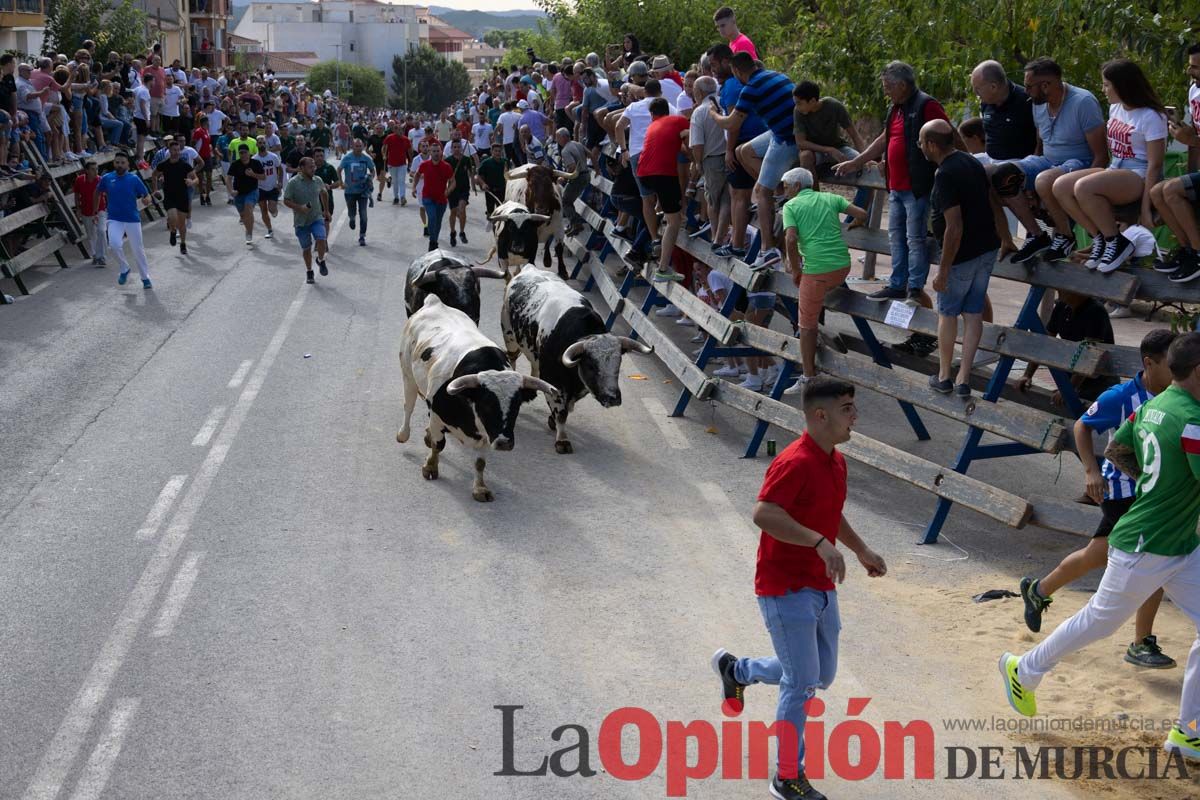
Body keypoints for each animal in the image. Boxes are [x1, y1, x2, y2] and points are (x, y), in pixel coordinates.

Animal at [398, 297, 556, 501]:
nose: (504, 443)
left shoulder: (486, 435)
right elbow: (438, 445)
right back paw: (403, 433)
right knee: (408, 406)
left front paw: (480, 488)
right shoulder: (437, 417)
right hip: (408, 375)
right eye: (487, 405)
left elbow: (480, 463)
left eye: (516, 406)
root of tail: (434, 302)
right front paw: (430, 467)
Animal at [499, 266, 652, 453]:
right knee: (512, 358)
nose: (613, 398)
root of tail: (529, 268)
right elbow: (561, 414)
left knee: (534, 366)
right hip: (510, 336)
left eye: (618, 364)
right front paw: (562, 440)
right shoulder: (554, 383)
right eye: (592, 366)